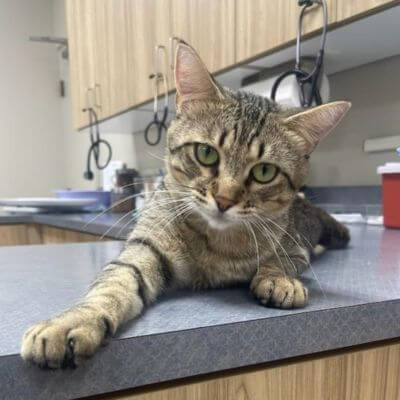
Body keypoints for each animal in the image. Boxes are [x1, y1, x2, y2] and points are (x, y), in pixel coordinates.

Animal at [21, 41, 350, 368]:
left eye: (264, 172)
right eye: (206, 153)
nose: (224, 199)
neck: (218, 245)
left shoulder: (294, 248)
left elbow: (280, 261)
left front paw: (279, 280)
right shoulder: (146, 247)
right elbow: (114, 282)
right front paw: (72, 321)